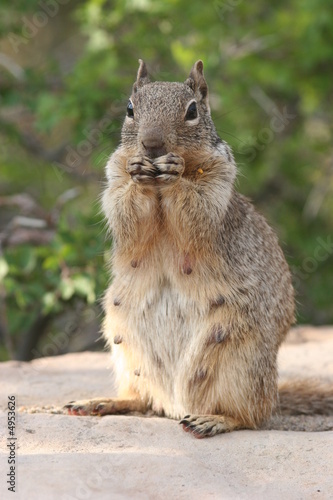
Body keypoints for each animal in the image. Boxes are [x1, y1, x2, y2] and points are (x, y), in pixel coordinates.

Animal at [64, 58, 332, 436]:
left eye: (192, 111)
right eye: (130, 109)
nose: (152, 144)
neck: (157, 188)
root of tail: (174, 405)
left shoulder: (216, 185)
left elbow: (196, 209)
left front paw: (175, 172)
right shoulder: (113, 181)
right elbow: (124, 209)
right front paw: (139, 172)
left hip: (240, 363)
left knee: (250, 416)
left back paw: (211, 419)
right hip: (122, 342)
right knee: (143, 400)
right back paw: (101, 402)